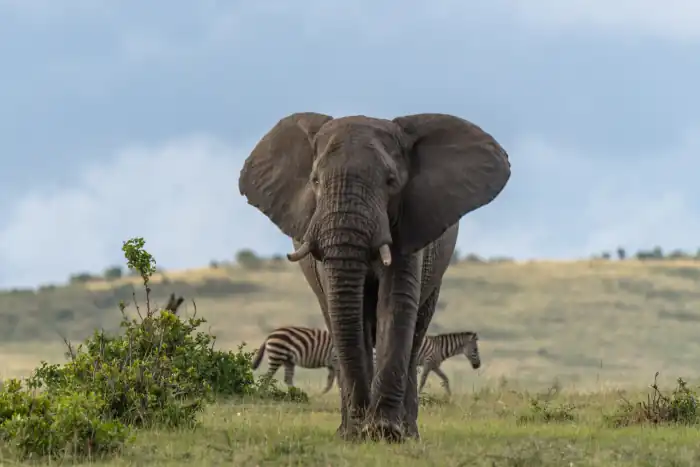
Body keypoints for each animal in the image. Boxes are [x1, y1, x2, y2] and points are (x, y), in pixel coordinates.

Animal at [238, 112, 511, 442]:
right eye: (315, 181)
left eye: (391, 182)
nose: (363, 425)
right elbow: (344, 311)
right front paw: (356, 432)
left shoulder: (411, 224)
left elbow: (395, 303)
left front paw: (384, 432)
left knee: (415, 332)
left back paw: (408, 432)